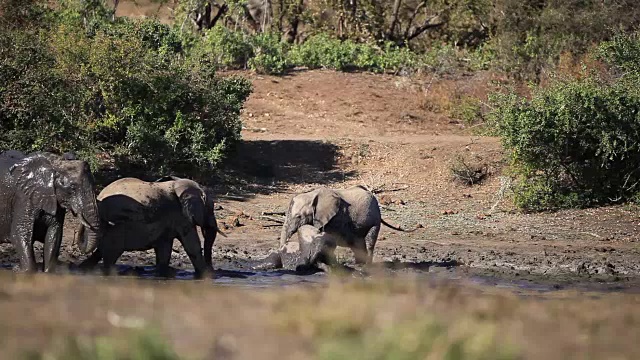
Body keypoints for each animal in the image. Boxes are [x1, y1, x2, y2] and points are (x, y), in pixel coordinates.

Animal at [78, 176, 225, 278]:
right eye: (210, 209)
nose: (213, 270)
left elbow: (164, 248)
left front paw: (161, 274)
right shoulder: (182, 217)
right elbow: (192, 245)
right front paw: (205, 276)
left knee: (99, 253)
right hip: (116, 229)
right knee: (110, 256)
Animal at [280, 186, 416, 264]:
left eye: (298, 217)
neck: (311, 195)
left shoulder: (335, 218)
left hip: (374, 219)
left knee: (369, 241)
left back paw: (366, 265)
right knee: (357, 243)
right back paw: (358, 264)